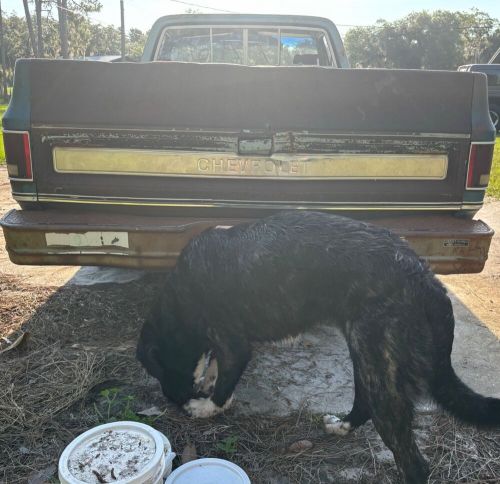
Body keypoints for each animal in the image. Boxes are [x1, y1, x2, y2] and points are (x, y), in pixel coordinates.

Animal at [137, 212, 500, 484]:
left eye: (159, 371)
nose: (174, 402)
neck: (179, 299)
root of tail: (428, 281)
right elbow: (213, 365)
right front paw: (207, 382)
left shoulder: (234, 345)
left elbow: (224, 381)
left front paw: (207, 406)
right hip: (365, 355)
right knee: (364, 402)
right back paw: (343, 425)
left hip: (381, 373)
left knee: (414, 464)